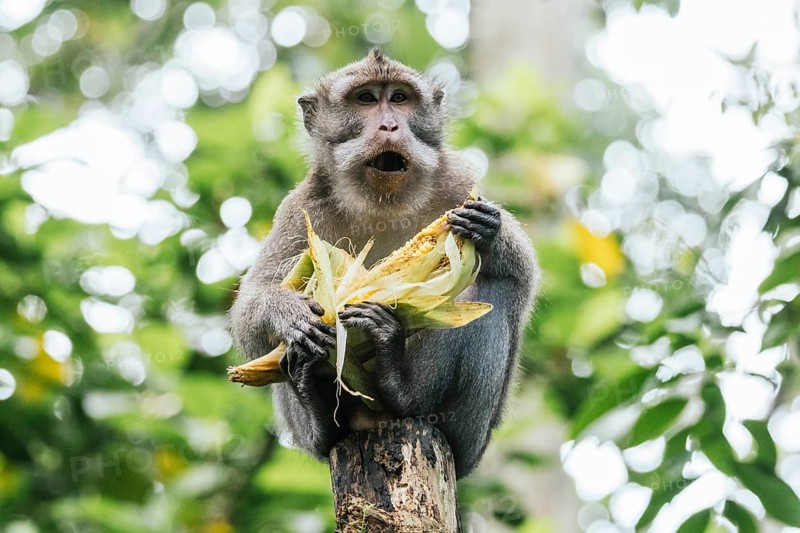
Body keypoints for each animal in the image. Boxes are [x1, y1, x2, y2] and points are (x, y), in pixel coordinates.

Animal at [229, 49, 540, 479]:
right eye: (365, 99)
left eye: (399, 98)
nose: (390, 125)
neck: (383, 201)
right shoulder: (300, 207)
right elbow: (252, 309)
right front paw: (291, 314)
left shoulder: (459, 182)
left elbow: (522, 277)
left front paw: (488, 230)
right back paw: (315, 404)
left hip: (474, 437)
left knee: (491, 289)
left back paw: (403, 391)